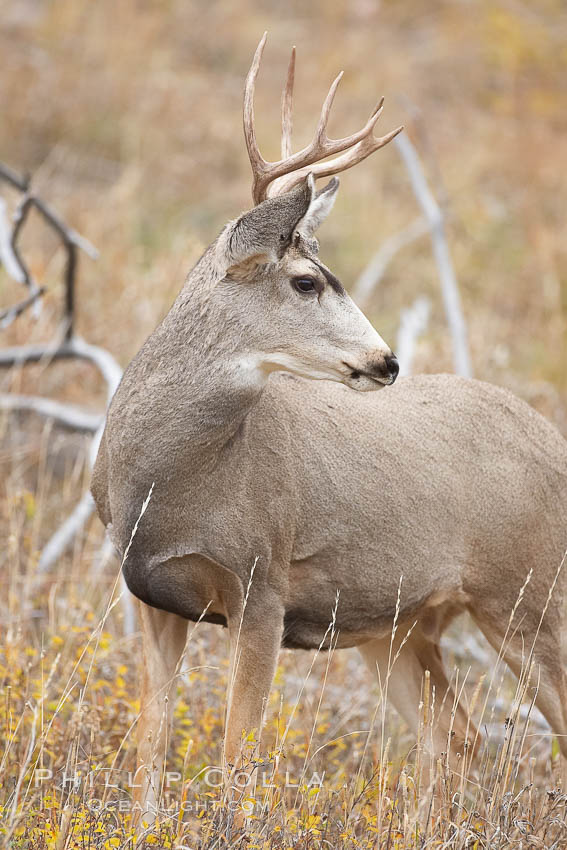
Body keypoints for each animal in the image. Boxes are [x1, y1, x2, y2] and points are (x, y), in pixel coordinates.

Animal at [92, 34, 567, 816]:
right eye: (306, 281)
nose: (386, 360)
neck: (170, 482)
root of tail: (551, 435)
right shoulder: (151, 595)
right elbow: (149, 748)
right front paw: (146, 825)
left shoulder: (262, 583)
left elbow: (237, 752)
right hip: (399, 626)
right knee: (456, 738)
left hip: (527, 593)